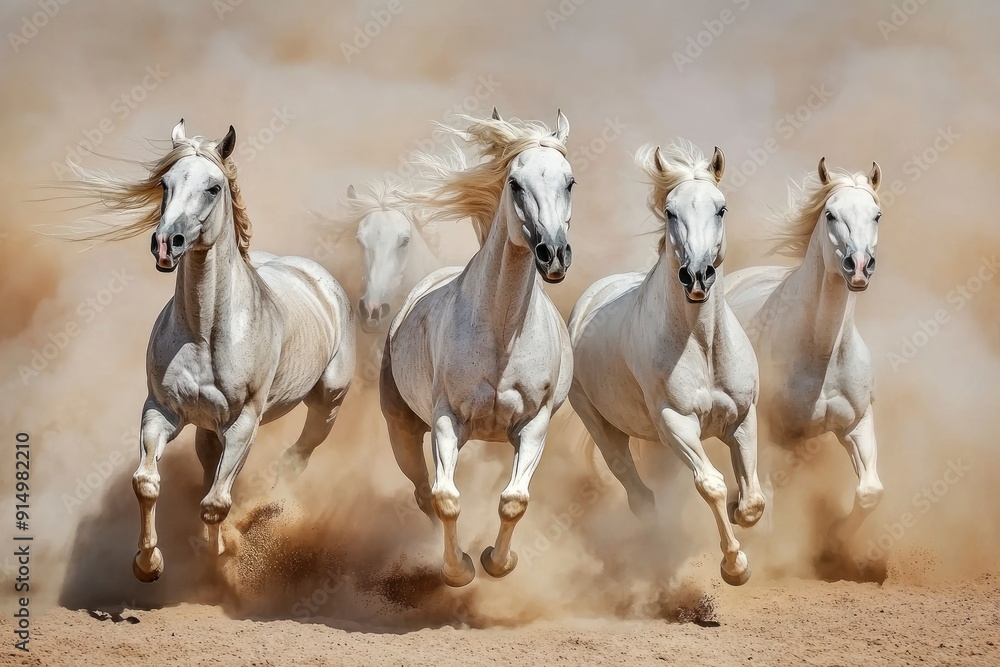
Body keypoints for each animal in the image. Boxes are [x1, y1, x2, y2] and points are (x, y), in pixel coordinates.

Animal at [66, 119, 356, 582]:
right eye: (165, 183)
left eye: (214, 187)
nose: (166, 243)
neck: (205, 333)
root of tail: (318, 278)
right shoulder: (162, 410)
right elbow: (147, 482)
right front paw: (148, 563)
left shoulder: (243, 424)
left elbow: (216, 504)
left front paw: (219, 556)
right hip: (206, 426)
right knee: (209, 467)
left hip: (326, 405)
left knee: (297, 456)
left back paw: (272, 510)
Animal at [379, 108, 574, 587]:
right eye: (515, 183)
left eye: (570, 182)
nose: (553, 254)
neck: (501, 336)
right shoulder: (448, 419)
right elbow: (446, 498)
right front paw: (460, 570)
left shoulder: (533, 424)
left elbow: (514, 501)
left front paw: (497, 562)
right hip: (402, 430)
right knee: (422, 492)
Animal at [567, 142, 764, 586]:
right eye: (671, 212)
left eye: (721, 208)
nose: (697, 276)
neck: (702, 346)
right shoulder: (676, 422)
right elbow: (711, 484)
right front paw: (735, 565)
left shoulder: (743, 418)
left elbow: (752, 502)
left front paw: (738, 512)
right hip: (604, 428)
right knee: (640, 495)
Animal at [725, 157, 884, 550]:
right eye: (830, 214)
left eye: (876, 214)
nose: (860, 266)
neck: (821, 353)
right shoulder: (765, 430)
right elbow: (761, 505)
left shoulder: (858, 423)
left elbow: (870, 492)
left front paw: (835, 539)